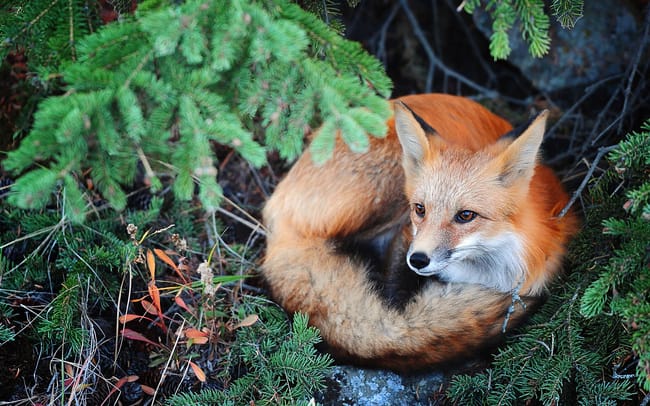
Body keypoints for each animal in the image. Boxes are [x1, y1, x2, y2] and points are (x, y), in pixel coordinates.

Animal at [261, 93, 578, 371]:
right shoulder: (406, 233)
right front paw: (395, 328)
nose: (419, 260)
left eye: (466, 215)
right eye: (420, 209)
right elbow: (392, 321)